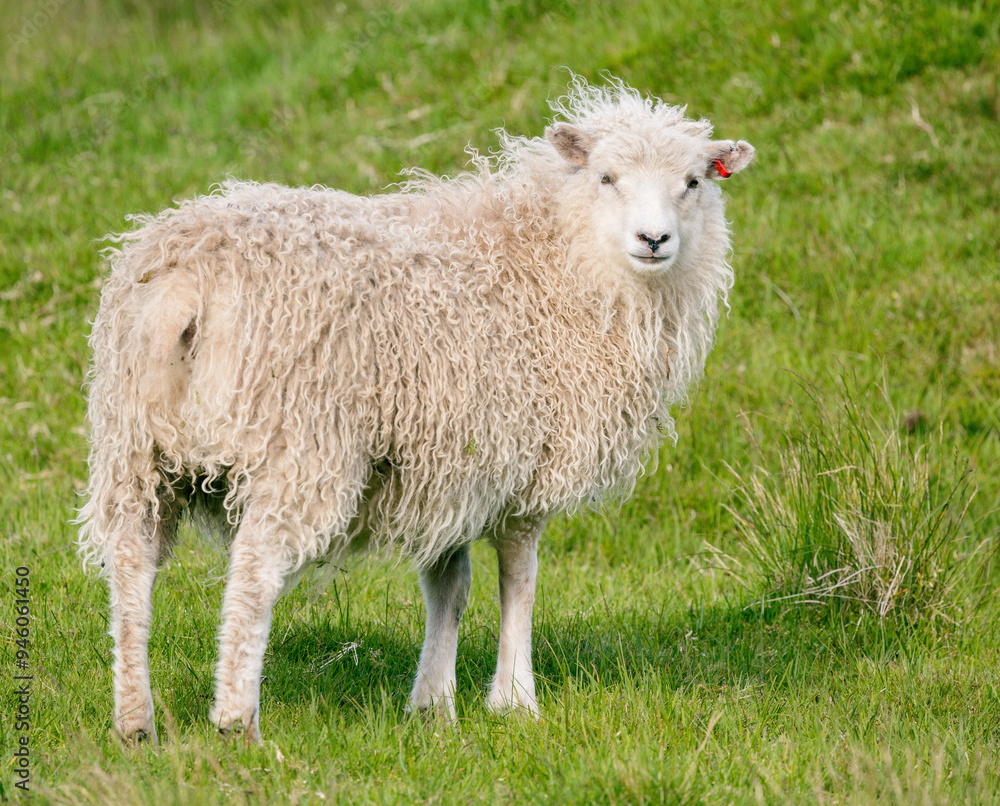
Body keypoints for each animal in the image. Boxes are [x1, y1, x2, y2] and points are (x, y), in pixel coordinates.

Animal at [77, 76, 754, 744]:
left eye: (694, 182)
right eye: (607, 177)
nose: (654, 239)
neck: (555, 261)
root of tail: (189, 282)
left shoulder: (446, 467)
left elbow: (448, 588)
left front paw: (432, 705)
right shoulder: (523, 460)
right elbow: (519, 579)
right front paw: (515, 700)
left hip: (134, 441)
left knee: (132, 562)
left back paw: (134, 721)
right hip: (298, 443)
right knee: (252, 573)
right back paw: (236, 721)